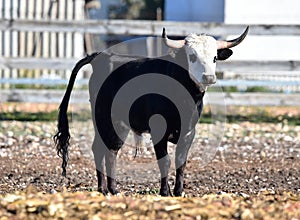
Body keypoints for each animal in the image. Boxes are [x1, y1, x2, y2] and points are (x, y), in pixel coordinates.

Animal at [54, 26, 248, 197]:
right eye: (192, 56)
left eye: (214, 58)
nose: (209, 77)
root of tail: (102, 57)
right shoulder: (158, 129)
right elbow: (165, 160)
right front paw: (165, 192)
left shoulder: (189, 132)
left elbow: (181, 161)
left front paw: (179, 191)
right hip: (106, 120)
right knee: (105, 150)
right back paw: (109, 189)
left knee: (106, 150)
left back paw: (106, 189)